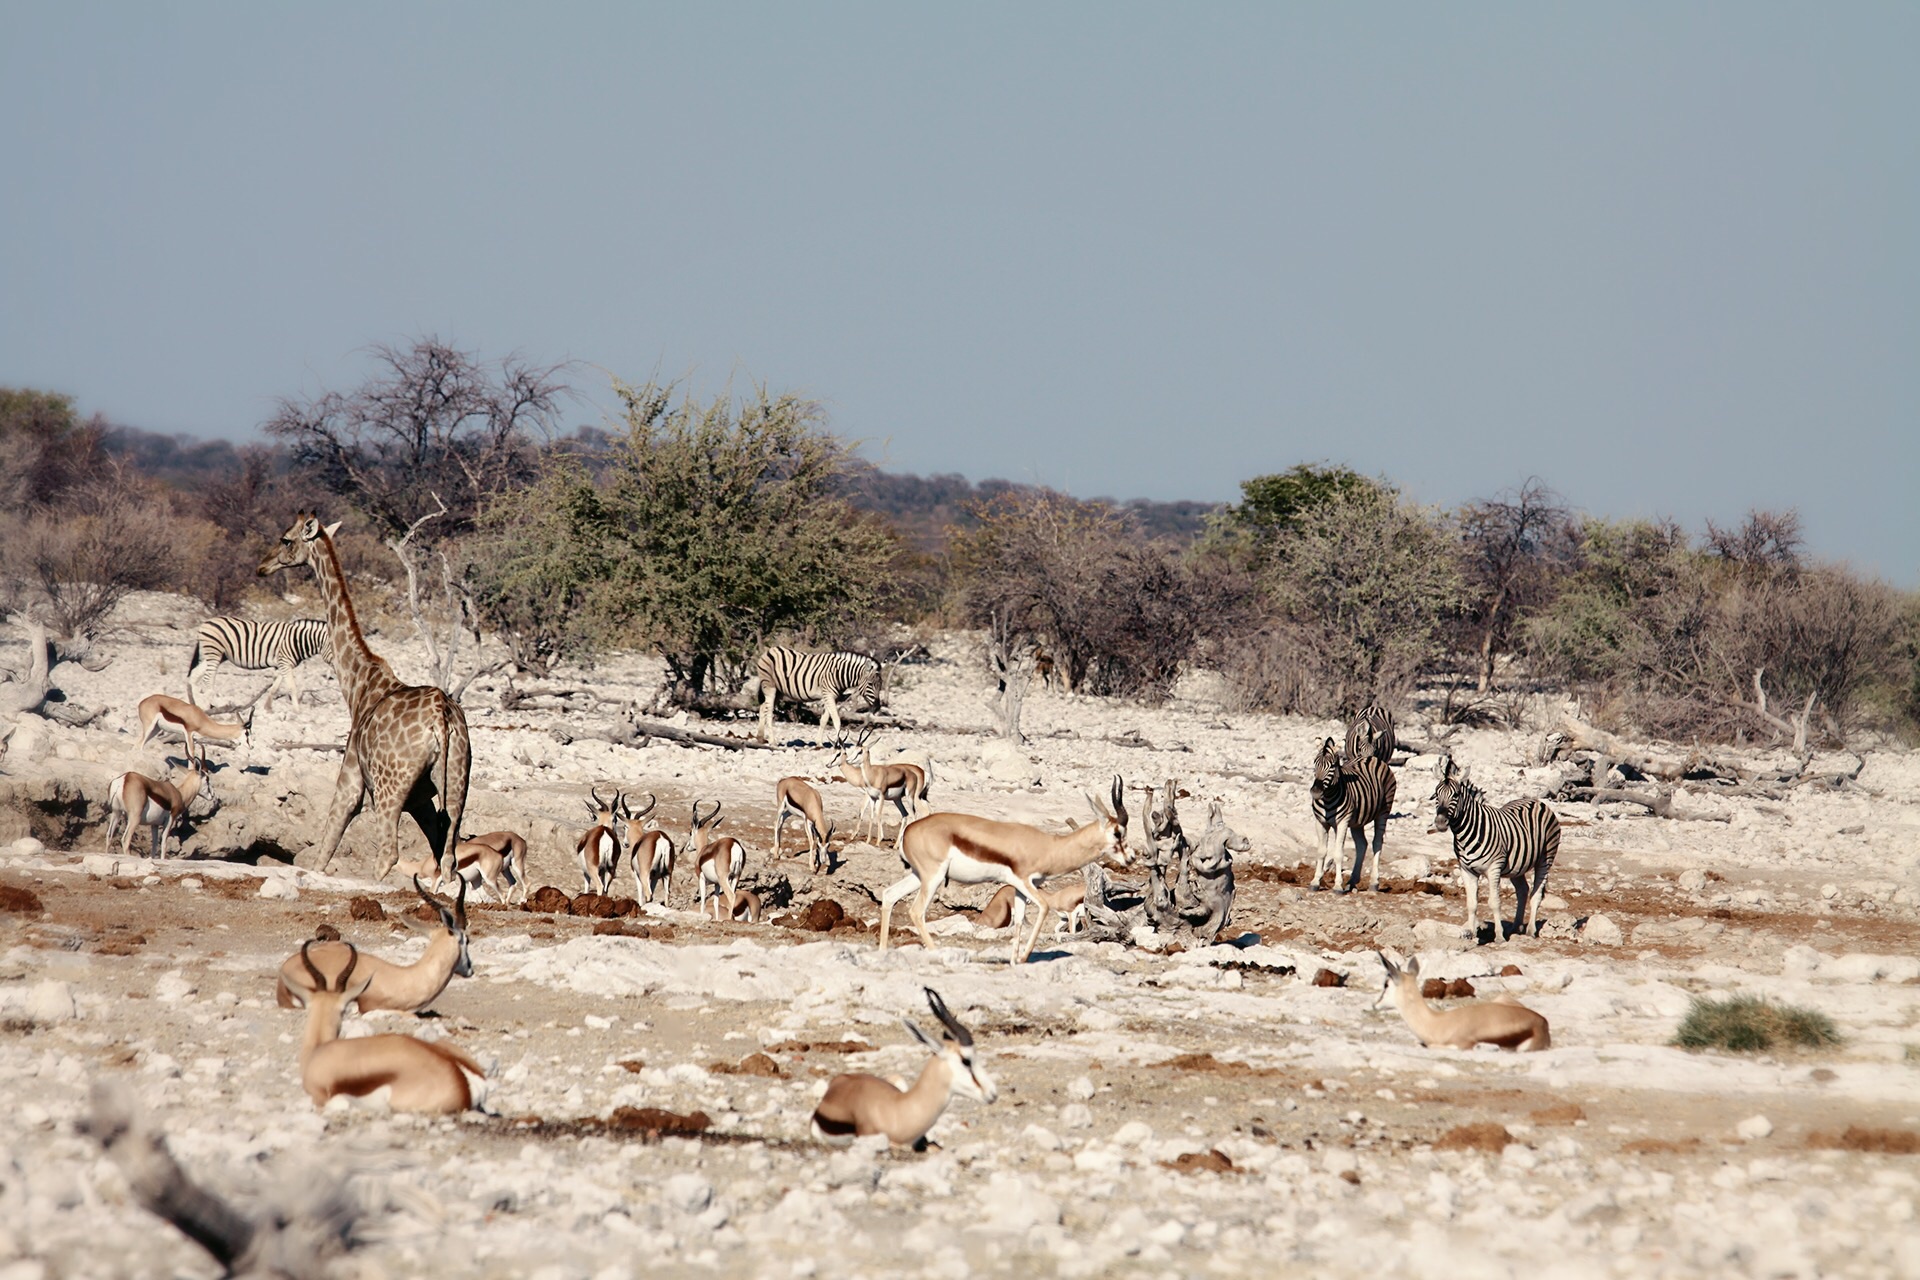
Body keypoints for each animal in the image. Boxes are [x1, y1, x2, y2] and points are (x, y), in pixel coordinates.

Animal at [187, 617, 330, 710]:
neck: (299, 640)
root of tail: (205, 623)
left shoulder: (281, 665)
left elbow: (274, 687)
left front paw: (268, 708)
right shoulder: (284, 662)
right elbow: (292, 687)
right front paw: (297, 711)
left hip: (218, 655)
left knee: (194, 675)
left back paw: (194, 702)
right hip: (214, 652)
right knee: (207, 679)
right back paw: (209, 704)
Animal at [257, 510, 470, 882]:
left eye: (286, 539)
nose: (262, 566)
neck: (357, 685)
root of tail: (441, 718)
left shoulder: (350, 782)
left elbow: (323, 852)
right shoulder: (422, 799)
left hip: (388, 788)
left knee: (387, 853)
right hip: (457, 781)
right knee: (448, 859)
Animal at [1305, 736, 1397, 898]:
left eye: (1332, 766)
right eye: (1315, 764)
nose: (1315, 792)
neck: (1327, 798)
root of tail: (1371, 757)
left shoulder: (1342, 822)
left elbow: (1338, 853)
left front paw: (1337, 886)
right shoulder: (1320, 822)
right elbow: (1321, 852)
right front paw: (1315, 882)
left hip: (1383, 811)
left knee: (1377, 843)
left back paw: (1374, 883)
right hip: (1357, 822)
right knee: (1362, 845)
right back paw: (1352, 882)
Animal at [1428, 756, 1559, 948]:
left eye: (1456, 795)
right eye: (1436, 795)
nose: (1440, 822)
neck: (1466, 833)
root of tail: (1536, 801)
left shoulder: (1494, 868)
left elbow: (1495, 902)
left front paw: (1499, 936)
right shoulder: (1466, 870)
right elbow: (1471, 903)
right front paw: (1471, 934)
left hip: (1546, 857)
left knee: (1536, 894)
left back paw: (1530, 930)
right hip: (1517, 866)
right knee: (1523, 890)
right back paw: (1515, 927)